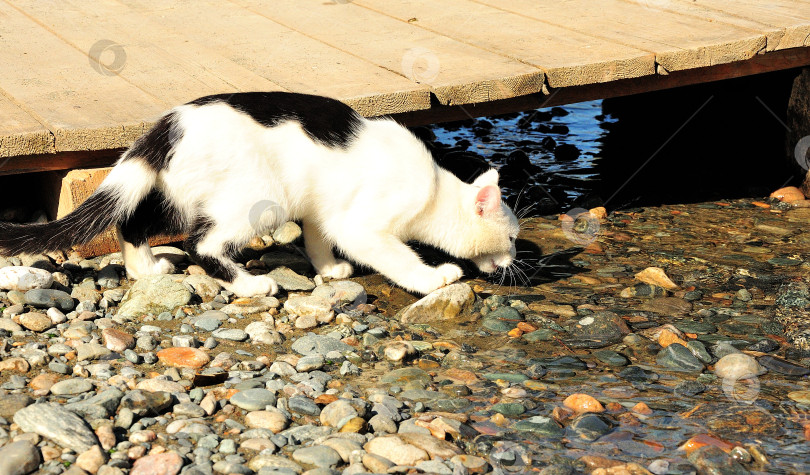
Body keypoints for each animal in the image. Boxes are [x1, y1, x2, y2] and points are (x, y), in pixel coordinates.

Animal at [0, 93, 516, 298]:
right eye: (511, 238)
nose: (514, 261)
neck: (434, 189)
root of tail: (168, 124)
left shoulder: (322, 207)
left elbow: (318, 235)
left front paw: (329, 269)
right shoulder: (363, 223)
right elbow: (395, 255)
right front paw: (434, 278)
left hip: (178, 192)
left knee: (133, 221)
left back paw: (145, 269)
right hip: (261, 193)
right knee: (201, 243)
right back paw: (251, 285)